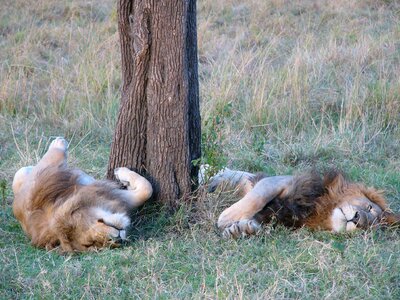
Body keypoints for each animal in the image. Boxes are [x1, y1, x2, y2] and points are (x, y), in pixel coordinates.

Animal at [12, 137, 153, 252]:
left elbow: (146, 189)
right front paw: (58, 143)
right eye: (93, 243)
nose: (117, 239)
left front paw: (120, 173)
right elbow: (147, 189)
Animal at [209, 168, 400, 238]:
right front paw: (226, 218)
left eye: (367, 228)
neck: (322, 210)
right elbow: (257, 197)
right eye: (369, 207)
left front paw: (240, 230)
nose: (357, 219)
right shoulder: (280, 181)